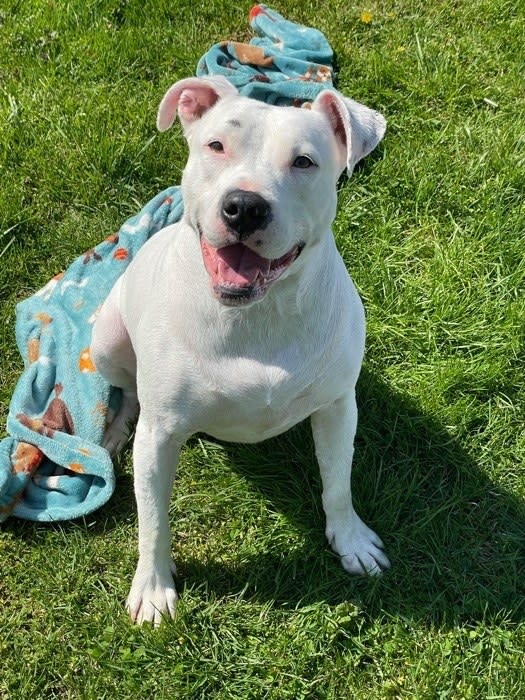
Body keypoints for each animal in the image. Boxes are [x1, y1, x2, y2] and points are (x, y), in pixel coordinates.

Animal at [91, 75, 388, 624]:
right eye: (216, 145)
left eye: (305, 161)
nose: (245, 206)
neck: (256, 314)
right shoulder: (160, 437)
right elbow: (153, 519)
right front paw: (153, 587)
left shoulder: (338, 407)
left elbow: (338, 481)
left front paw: (352, 539)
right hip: (106, 340)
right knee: (128, 389)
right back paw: (116, 430)